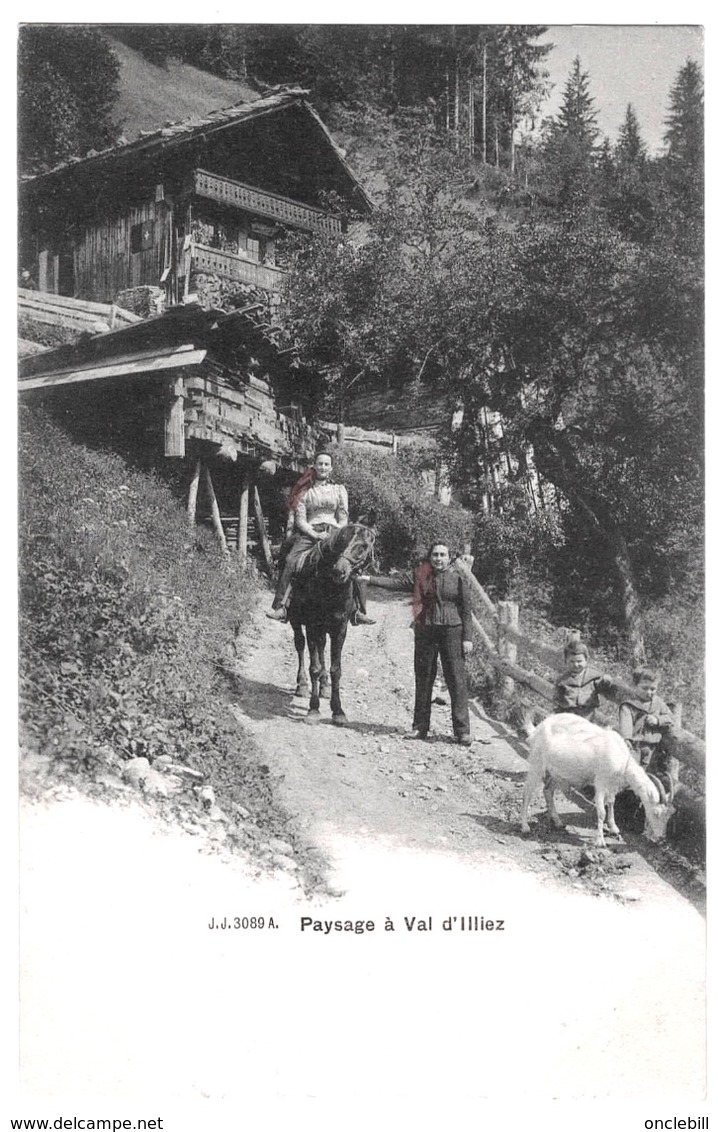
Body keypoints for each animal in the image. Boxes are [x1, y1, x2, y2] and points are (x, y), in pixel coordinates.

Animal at [285, 520, 373, 724]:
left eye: (364, 546)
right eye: (341, 541)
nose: (339, 571)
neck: (330, 588)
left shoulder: (339, 629)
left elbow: (336, 669)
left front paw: (338, 711)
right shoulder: (312, 626)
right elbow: (314, 667)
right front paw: (313, 710)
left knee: (321, 648)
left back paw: (324, 686)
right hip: (296, 621)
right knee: (300, 645)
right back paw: (302, 685)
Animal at [516, 710, 674, 846]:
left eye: (669, 815)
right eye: (656, 813)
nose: (661, 838)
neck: (621, 758)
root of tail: (537, 729)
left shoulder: (612, 784)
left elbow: (611, 802)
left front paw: (614, 827)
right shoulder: (601, 782)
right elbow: (601, 811)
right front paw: (600, 841)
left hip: (559, 773)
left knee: (547, 791)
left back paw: (558, 821)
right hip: (537, 763)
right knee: (527, 792)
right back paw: (525, 827)